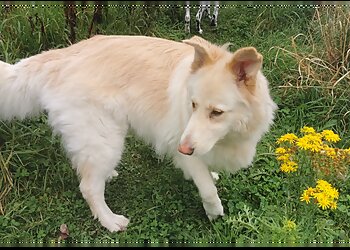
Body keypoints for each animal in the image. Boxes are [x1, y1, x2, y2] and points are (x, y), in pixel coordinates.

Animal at [0, 35, 278, 232]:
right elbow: (207, 188)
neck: (233, 132)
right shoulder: (182, 148)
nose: (183, 147)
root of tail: (61, 56)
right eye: (193, 105)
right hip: (106, 140)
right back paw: (110, 221)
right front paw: (214, 211)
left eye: (217, 113)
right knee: (89, 187)